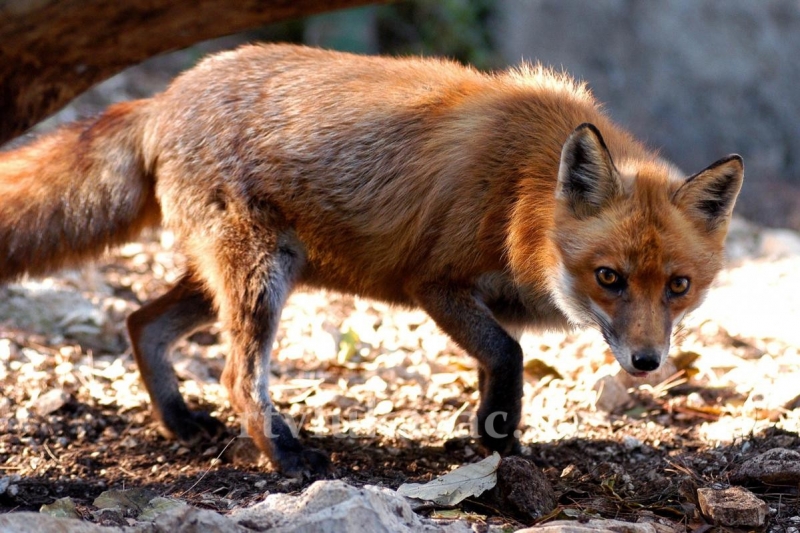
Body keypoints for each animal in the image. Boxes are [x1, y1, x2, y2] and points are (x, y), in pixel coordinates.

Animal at [1, 44, 744, 474]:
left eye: (678, 285)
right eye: (609, 278)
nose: (646, 362)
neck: (521, 194)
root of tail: (163, 96)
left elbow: (493, 369)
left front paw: (491, 440)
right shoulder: (434, 282)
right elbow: (508, 354)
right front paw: (503, 449)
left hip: (248, 273)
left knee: (140, 323)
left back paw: (181, 422)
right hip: (260, 277)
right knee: (239, 376)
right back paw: (287, 456)